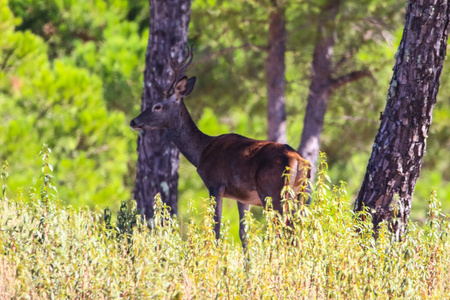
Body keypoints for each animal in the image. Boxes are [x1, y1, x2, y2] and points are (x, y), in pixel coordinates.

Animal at [130, 45, 310, 245]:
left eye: (157, 106)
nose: (133, 121)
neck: (201, 151)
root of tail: (300, 161)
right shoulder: (243, 197)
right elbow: (243, 233)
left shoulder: (215, 184)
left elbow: (215, 229)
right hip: (300, 193)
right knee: (297, 229)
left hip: (274, 191)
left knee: (285, 230)